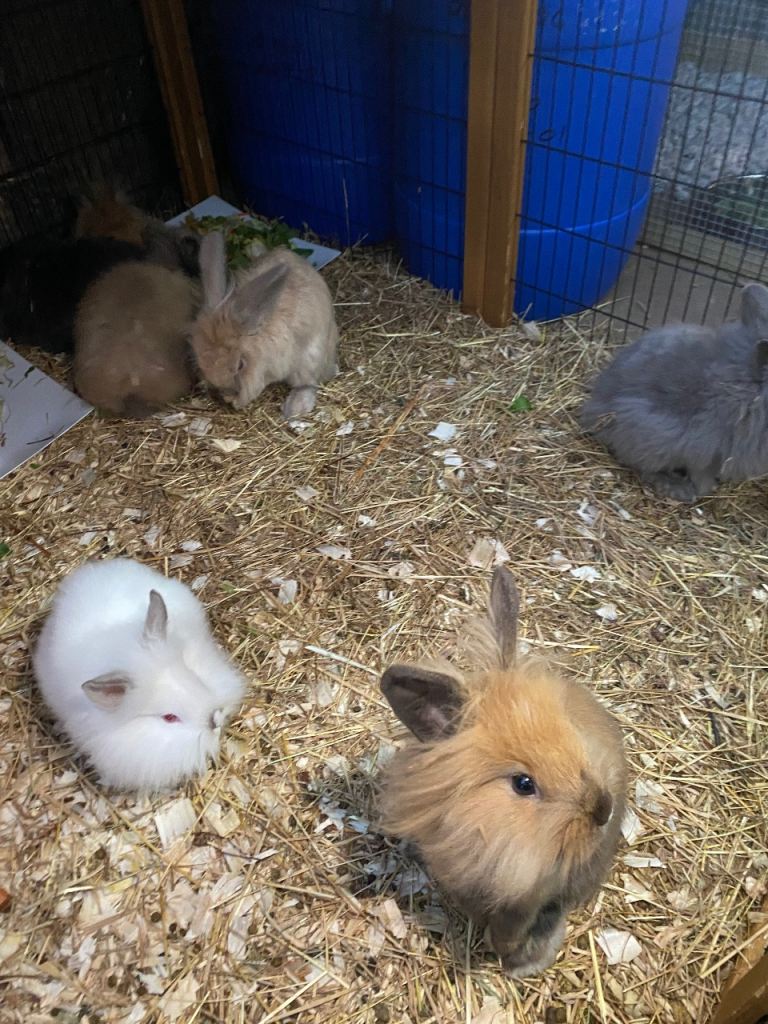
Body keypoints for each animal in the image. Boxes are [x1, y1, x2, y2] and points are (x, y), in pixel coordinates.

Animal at [190, 230, 339, 419]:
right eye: (201, 363)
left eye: (240, 365)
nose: (224, 394)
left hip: (311, 358)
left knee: (308, 383)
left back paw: (294, 409)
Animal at [581, 282, 768, 502]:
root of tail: (594, 405)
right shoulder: (705, 444)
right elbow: (701, 474)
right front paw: (702, 490)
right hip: (649, 432)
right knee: (640, 464)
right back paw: (677, 488)